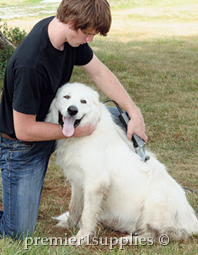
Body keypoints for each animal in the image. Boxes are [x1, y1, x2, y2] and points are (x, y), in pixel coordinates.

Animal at [46, 82, 198, 244]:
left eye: (83, 101)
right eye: (66, 97)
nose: (72, 110)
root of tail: (194, 224)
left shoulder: (96, 183)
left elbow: (87, 216)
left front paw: (81, 237)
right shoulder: (78, 182)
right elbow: (74, 208)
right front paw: (69, 224)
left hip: (156, 200)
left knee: (156, 235)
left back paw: (126, 239)